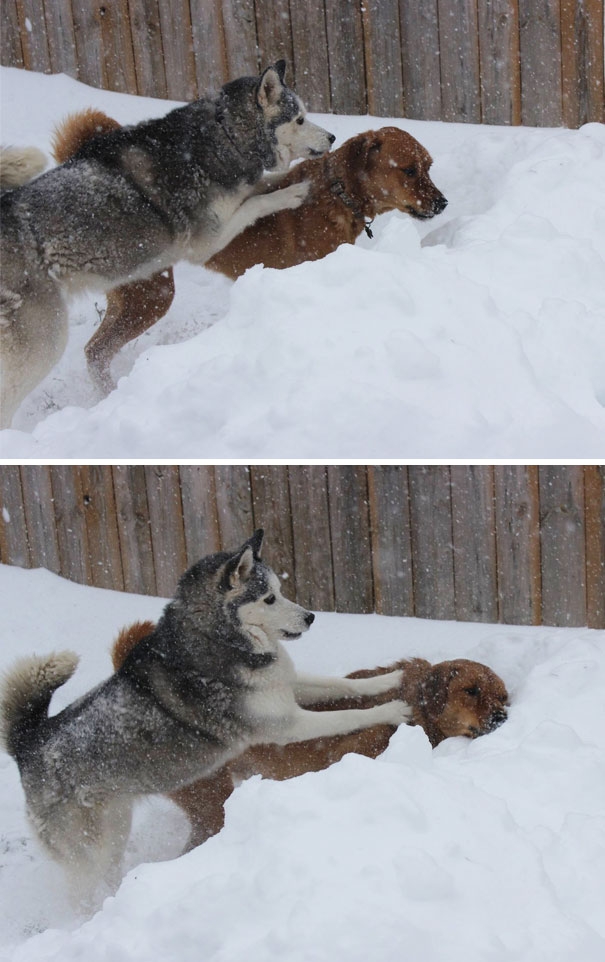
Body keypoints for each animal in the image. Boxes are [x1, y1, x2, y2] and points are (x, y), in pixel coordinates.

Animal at [0, 62, 332, 426]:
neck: (226, 135)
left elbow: (262, 184)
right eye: (299, 119)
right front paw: (296, 192)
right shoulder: (206, 240)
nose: (332, 137)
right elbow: (258, 202)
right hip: (46, 338)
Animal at [0, 528, 408, 904]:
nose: (311, 617)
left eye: (280, 590)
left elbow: (343, 685)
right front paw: (391, 708)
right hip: (91, 848)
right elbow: (349, 715)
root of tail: (27, 742)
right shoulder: (286, 724)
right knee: (82, 890)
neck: (222, 640)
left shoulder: (287, 688)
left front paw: (390, 679)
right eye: (269, 597)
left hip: (114, 828)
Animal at [53, 114, 444, 392]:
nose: (443, 203)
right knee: (96, 351)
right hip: (151, 295)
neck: (336, 192)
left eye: (429, 166)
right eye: (409, 170)